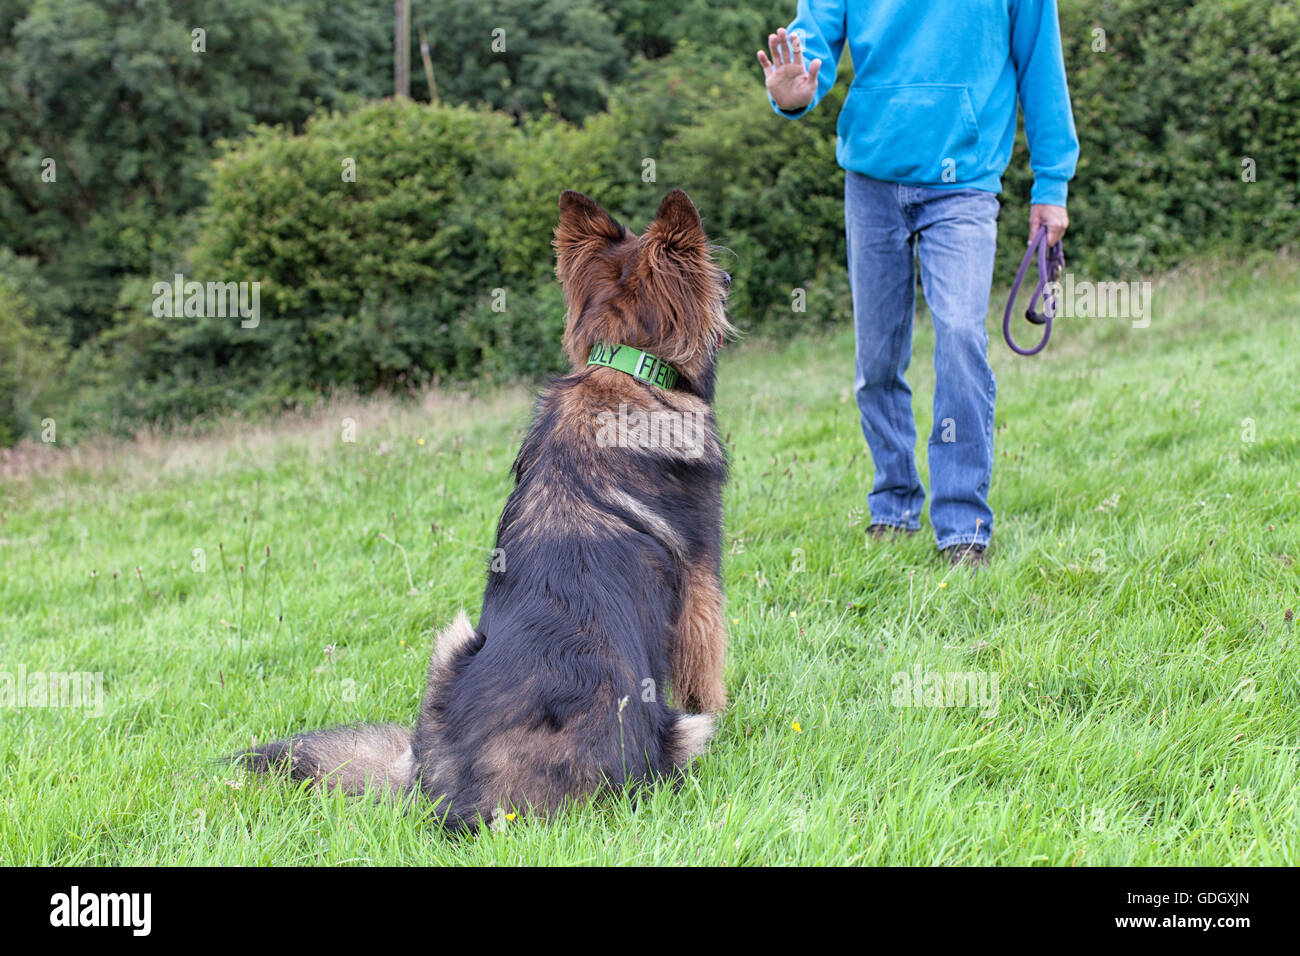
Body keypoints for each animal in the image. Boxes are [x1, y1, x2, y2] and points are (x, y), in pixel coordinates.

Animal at [239, 188, 738, 832]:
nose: (729, 275)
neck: (625, 369)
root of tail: (483, 806)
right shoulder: (702, 585)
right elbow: (710, 672)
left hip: (449, 645)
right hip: (679, 735)